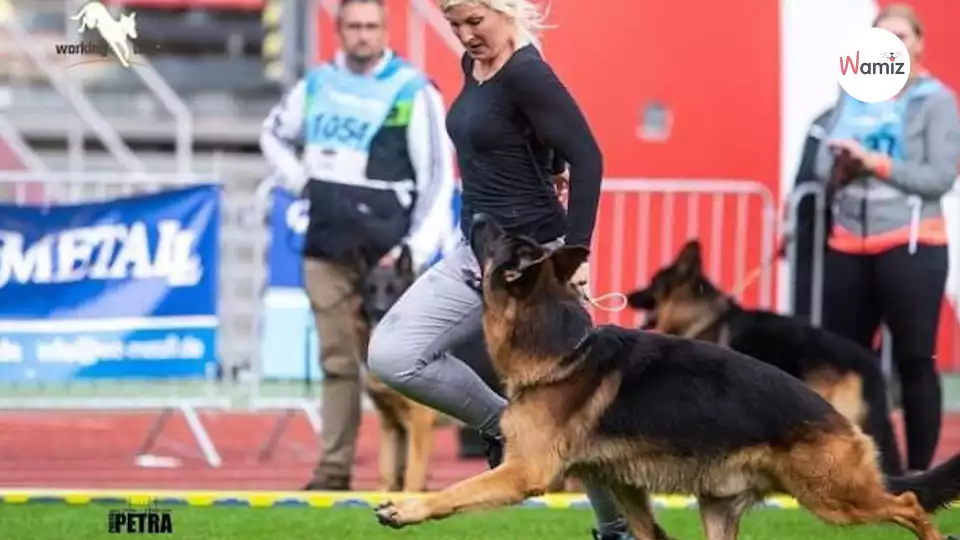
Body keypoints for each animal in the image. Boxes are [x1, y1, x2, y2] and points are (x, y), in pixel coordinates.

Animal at [360, 247, 438, 492]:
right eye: (370, 290)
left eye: (393, 290)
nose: (378, 311)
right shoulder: (390, 425)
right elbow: (386, 473)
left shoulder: (420, 423)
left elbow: (412, 476)